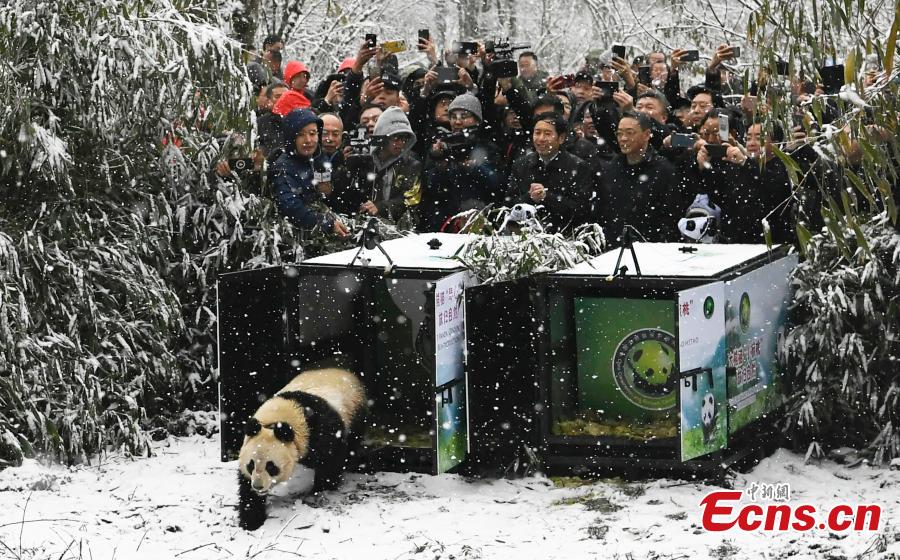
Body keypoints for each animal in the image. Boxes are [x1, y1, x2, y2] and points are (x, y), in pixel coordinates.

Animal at [239, 368, 370, 528]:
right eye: (250, 465)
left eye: (271, 466)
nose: (258, 486)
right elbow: (245, 485)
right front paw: (251, 520)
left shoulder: (321, 429)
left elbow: (331, 459)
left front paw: (322, 488)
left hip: (355, 411)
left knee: (352, 441)